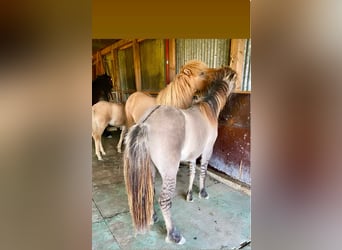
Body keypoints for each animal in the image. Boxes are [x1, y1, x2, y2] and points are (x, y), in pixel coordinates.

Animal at [123, 66, 238, 244]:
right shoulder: (207, 151)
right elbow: (203, 172)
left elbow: (192, 172)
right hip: (170, 172)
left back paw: (153, 218)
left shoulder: (192, 155)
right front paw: (202, 193)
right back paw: (174, 235)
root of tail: (145, 123)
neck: (208, 110)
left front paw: (190, 195)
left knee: (149, 192)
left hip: (150, 168)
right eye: (235, 80)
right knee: (164, 200)